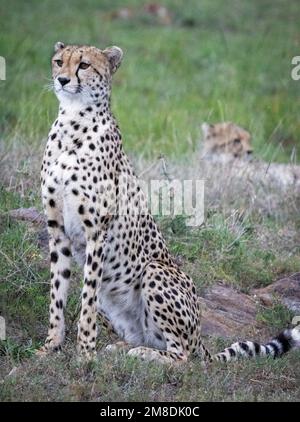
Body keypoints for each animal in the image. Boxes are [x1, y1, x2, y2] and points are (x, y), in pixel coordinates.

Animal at [39, 43, 300, 366]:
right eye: (58, 61)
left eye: (84, 65)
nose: (62, 80)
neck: (72, 122)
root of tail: (201, 339)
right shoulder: (58, 231)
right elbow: (57, 293)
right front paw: (50, 345)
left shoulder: (96, 232)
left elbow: (86, 298)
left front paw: (85, 352)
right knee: (148, 337)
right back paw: (122, 349)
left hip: (155, 271)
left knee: (183, 357)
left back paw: (143, 354)